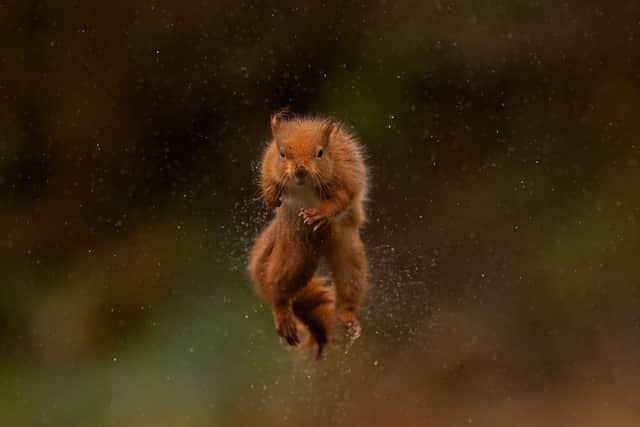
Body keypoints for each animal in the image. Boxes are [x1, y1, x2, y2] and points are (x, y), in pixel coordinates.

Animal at [248, 112, 369, 358]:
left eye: (320, 153)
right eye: (282, 153)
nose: (300, 170)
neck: (303, 186)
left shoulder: (342, 175)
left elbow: (340, 200)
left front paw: (319, 213)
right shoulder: (269, 162)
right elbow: (267, 178)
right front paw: (272, 198)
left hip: (348, 252)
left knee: (349, 283)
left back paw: (348, 317)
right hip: (294, 254)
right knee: (279, 292)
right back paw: (282, 313)